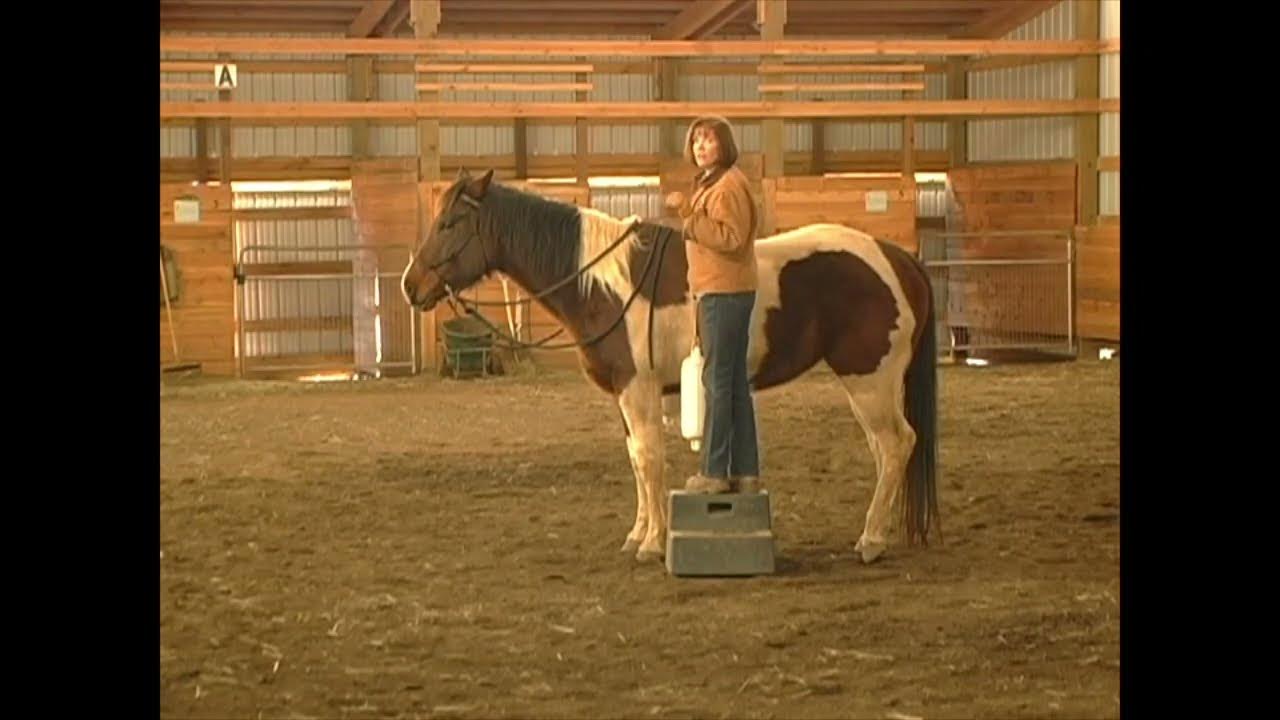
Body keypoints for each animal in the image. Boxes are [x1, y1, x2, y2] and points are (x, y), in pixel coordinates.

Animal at [402, 168, 940, 565]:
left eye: (449, 224)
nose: (411, 284)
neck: (603, 282)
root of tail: (895, 257)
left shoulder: (637, 390)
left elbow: (647, 459)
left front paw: (652, 543)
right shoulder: (625, 394)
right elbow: (635, 460)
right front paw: (638, 533)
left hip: (869, 382)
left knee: (897, 444)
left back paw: (871, 541)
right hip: (871, 387)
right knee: (885, 450)